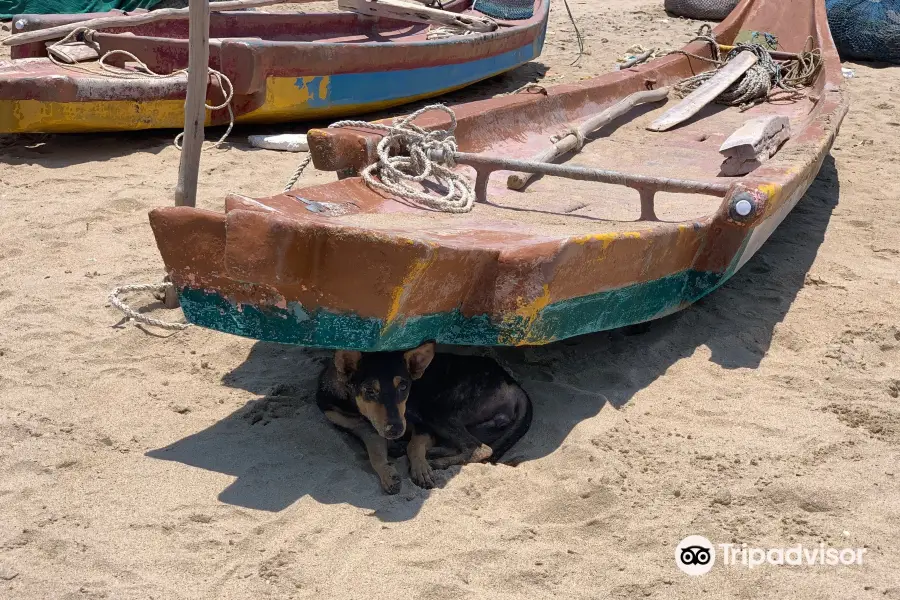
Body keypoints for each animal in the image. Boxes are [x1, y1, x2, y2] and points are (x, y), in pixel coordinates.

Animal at [316, 342, 532, 492]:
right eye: (369, 390)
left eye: (404, 387)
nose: (396, 430)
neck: (354, 407)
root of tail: (513, 384)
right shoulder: (361, 427)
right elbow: (375, 453)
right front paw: (388, 473)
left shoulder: (421, 424)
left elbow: (414, 445)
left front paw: (420, 468)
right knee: (467, 446)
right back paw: (431, 452)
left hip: (437, 412)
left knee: (480, 449)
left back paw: (435, 461)